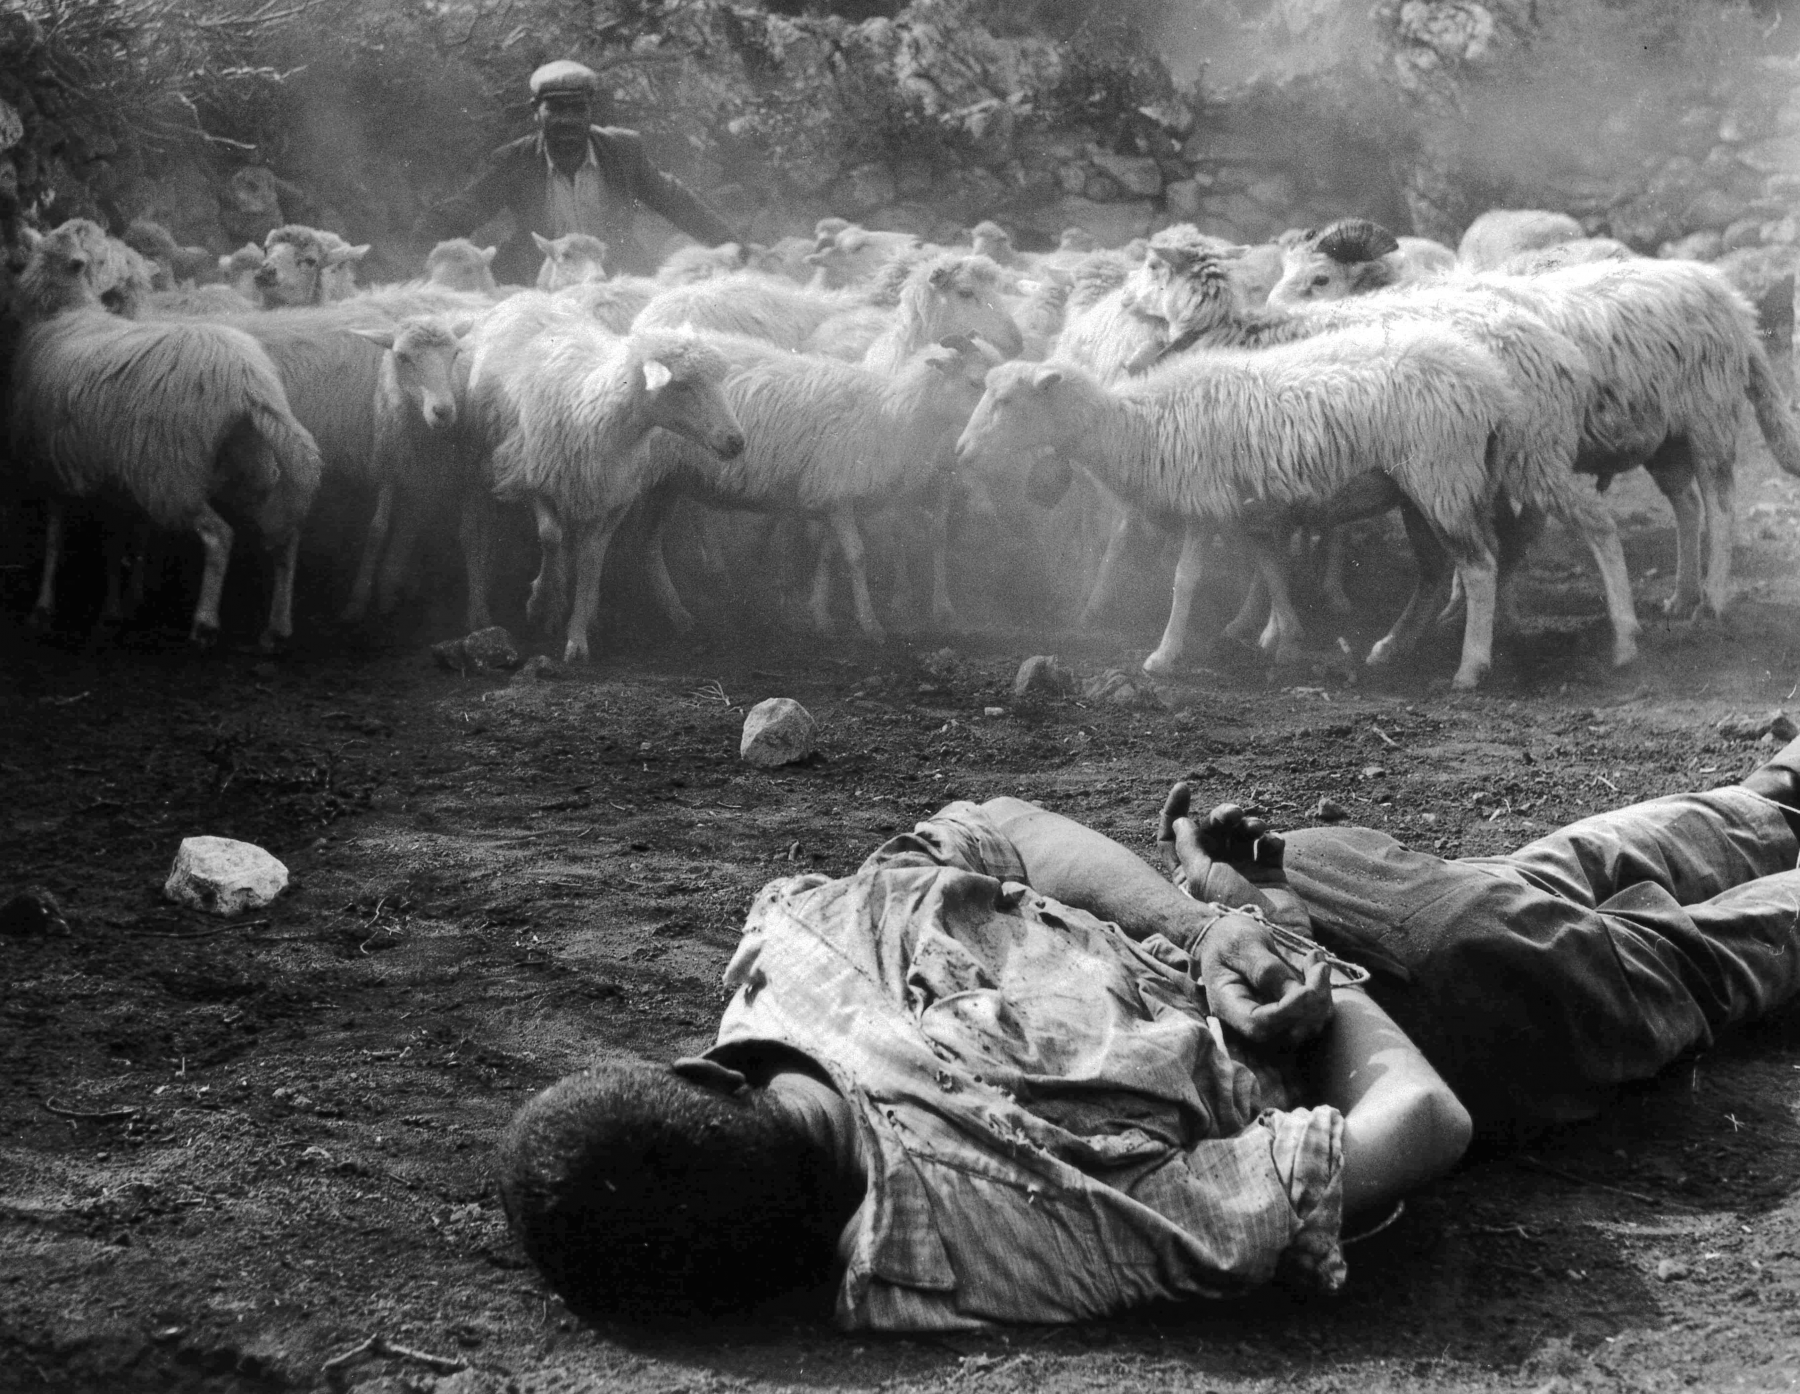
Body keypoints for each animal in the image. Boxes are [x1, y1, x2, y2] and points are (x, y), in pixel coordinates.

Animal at [11, 221, 323, 648]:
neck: (64, 311)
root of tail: (249, 383)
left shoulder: (51, 463)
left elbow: (55, 538)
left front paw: (43, 608)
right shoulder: (114, 472)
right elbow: (116, 542)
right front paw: (114, 609)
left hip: (171, 473)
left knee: (219, 536)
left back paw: (204, 623)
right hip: (250, 468)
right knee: (286, 537)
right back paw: (277, 626)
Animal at [488, 325, 746, 662]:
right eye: (683, 385)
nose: (736, 441)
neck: (591, 413)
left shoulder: (612, 498)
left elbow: (591, 558)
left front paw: (577, 632)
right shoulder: (534, 476)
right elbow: (550, 536)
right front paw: (541, 600)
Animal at [637, 333, 1001, 640]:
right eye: (974, 382)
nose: (992, 431)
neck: (891, 416)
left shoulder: (830, 494)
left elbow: (828, 553)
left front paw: (820, 615)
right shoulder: (837, 490)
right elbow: (856, 556)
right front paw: (870, 624)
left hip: (674, 480)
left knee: (656, 539)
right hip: (659, 477)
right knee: (650, 542)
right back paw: (677, 609)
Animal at [955, 323, 1524, 689]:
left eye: (1005, 401)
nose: (961, 453)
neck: (1139, 425)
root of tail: (1490, 387)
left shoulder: (1203, 505)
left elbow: (1185, 581)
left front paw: (1164, 656)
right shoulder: (1248, 509)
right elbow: (1272, 569)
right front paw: (1286, 638)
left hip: (1442, 477)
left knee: (1478, 569)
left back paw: (1470, 669)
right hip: (1416, 491)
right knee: (1433, 571)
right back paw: (1390, 648)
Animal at [1131, 243, 1642, 667]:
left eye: (1155, 268)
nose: (1128, 304)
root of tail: (1564, 353)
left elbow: (1264, 557)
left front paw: (1260, 629)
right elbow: (1269, 553)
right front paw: (1270, 627)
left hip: (1527, 454)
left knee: (1585, 525)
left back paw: (1620, 640)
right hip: (1485, 470)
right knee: (1503, 541)